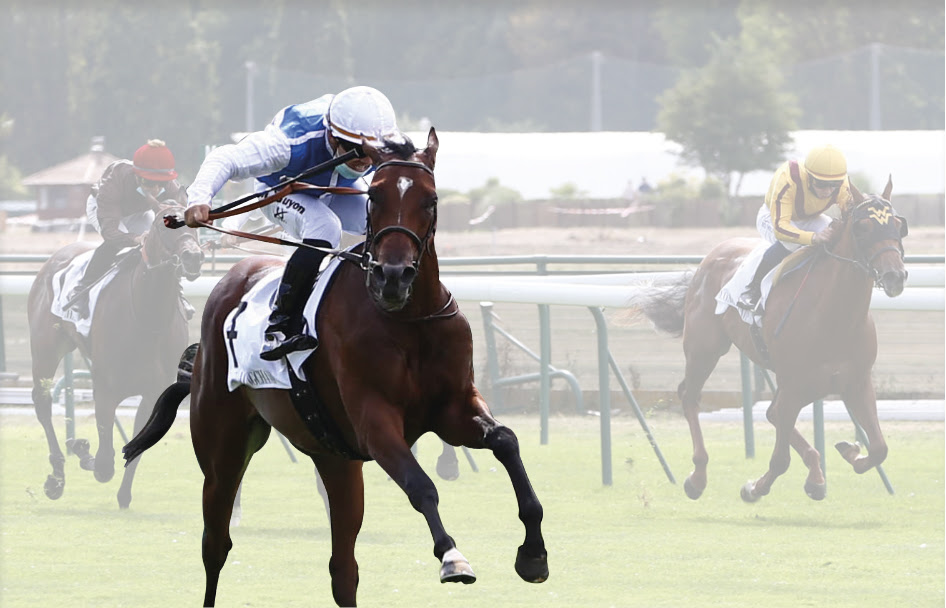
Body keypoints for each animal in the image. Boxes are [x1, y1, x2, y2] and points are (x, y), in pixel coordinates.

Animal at [28, 205, 203, 508]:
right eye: (164, 224)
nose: (193, 257)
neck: (147, 317)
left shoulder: (153, 393)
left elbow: (133, 450)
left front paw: (124, 495)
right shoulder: (105, 390)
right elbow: (104, 464)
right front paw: (80, 448)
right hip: (45, 351)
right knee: (42, 403)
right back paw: (56, 477)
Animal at [122, 126, 548, 604]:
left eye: (431, 199)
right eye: (374, 197)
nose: (393, 275)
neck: (407, 319)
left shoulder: (453, 408)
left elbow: (506, 441)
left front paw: (534, 553)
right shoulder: (374, 422)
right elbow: (420, 484)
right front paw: (452, 556)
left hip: (335, 460)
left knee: (343, 570)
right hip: (223, 452)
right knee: (216, 545)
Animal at [636, 179, 908, 504]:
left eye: (898, 225)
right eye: (863, 227)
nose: (895, 276)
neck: (833, 315)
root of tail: (710, 258)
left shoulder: (856, 381)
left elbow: (879, 448)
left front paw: (849, 452)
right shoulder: (793, 383)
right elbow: (780, 459)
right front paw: (754, 488)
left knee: (770, 412)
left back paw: (816, 474)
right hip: (704, 348)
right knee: (690, 396)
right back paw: (697, 478)